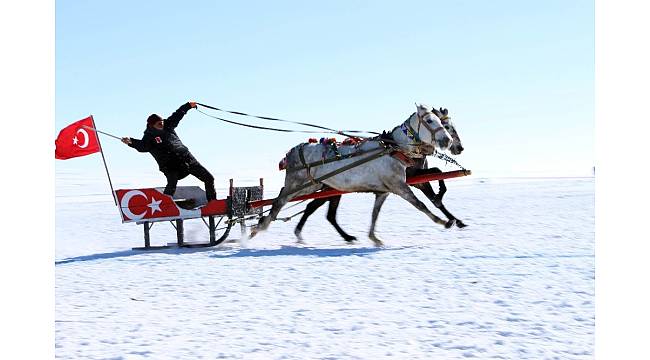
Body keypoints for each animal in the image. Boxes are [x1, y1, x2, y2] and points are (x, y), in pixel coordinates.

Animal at [251, 102, 454, 246]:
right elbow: (420, 205)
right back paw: (259, 227)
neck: (393, 149)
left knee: (288, 200)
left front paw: (374, 238)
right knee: (280, 201)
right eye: (430, 121)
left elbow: (375, 214)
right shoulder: (399, 186)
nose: (449, 141)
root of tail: (293, 151)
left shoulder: (384, 190)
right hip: (299, 184)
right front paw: (443, 221)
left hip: (313, 185)